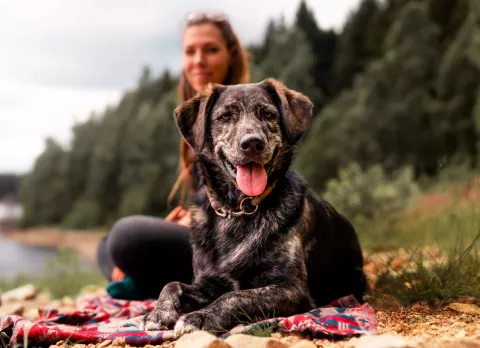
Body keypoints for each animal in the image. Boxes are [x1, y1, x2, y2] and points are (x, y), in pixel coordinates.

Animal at [139, 78, 368, 334]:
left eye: (268, 114)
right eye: (225, 116)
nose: (252, 143)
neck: (236, 210)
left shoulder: (291, 289)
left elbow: (236, 295)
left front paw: (200, 317)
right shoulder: (207, 284)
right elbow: (171, 284)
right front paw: (158, 313)